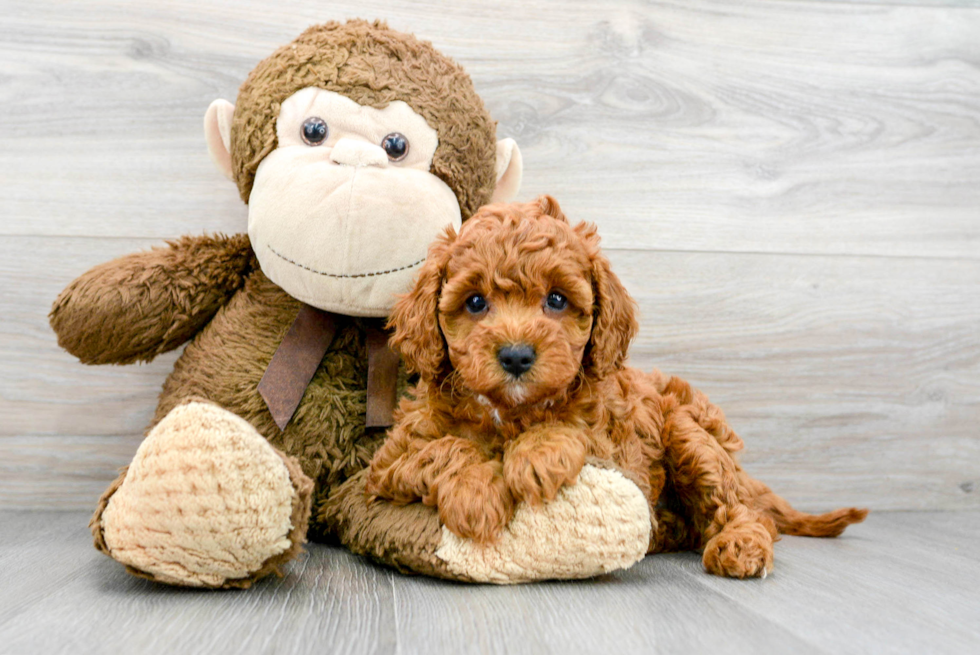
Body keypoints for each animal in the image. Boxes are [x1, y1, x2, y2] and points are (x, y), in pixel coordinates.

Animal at [368, 196, 864, 580]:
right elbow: (442, 448)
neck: (511, 414)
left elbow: (575, 430)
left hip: (689, 435)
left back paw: (741, 546)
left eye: (556, 299)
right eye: (474, 303)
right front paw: (475, 491)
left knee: (741, 507)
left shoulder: (617, 443)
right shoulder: (386, 464)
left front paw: (535, 455)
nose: (516, 356)